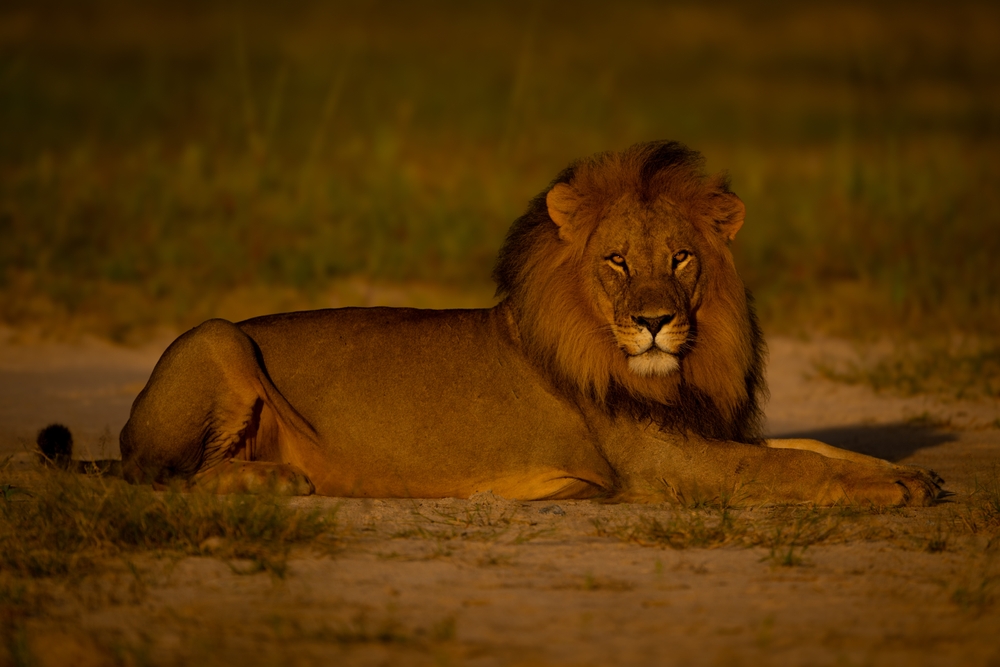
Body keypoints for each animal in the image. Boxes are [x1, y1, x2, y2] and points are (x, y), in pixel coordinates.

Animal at [119, 141, 943, 506]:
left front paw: (911, 475)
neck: (677, 371)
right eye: (617, 261)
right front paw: (889, 492)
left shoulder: (700, 432)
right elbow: (792, 466)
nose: (654, 322)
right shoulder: (668, 468)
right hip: (218, 334)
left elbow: (814, 445)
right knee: (164, 476)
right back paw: (273, 478)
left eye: (681, 258)